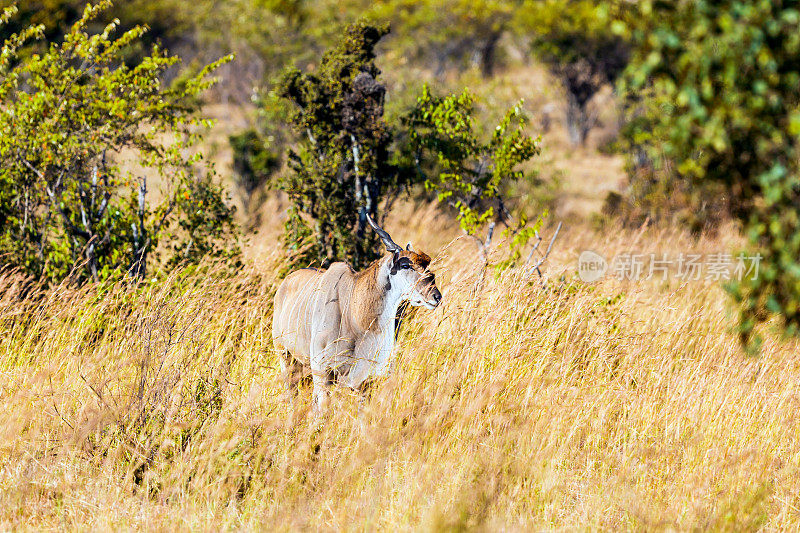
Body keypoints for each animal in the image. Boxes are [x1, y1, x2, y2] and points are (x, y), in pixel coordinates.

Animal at [272, 215, 440, 412]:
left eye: (427, 265)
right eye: (406, 265)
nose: (436, 296)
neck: (355, 316)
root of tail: (285, 283)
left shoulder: (364, 381)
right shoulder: (322, 371)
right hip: (286, 357)